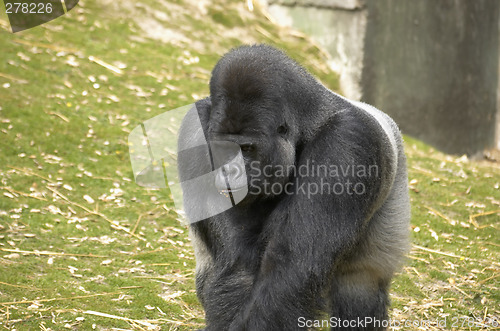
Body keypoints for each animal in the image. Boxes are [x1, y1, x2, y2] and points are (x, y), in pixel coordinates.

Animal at [177, 44, 410, 331]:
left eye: (247, 149)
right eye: (223, 148)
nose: (229, 171)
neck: (310, 122)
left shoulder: (348, 142)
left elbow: (290, 272)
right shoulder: (194, 128)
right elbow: (238, 266)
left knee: (359, 287)